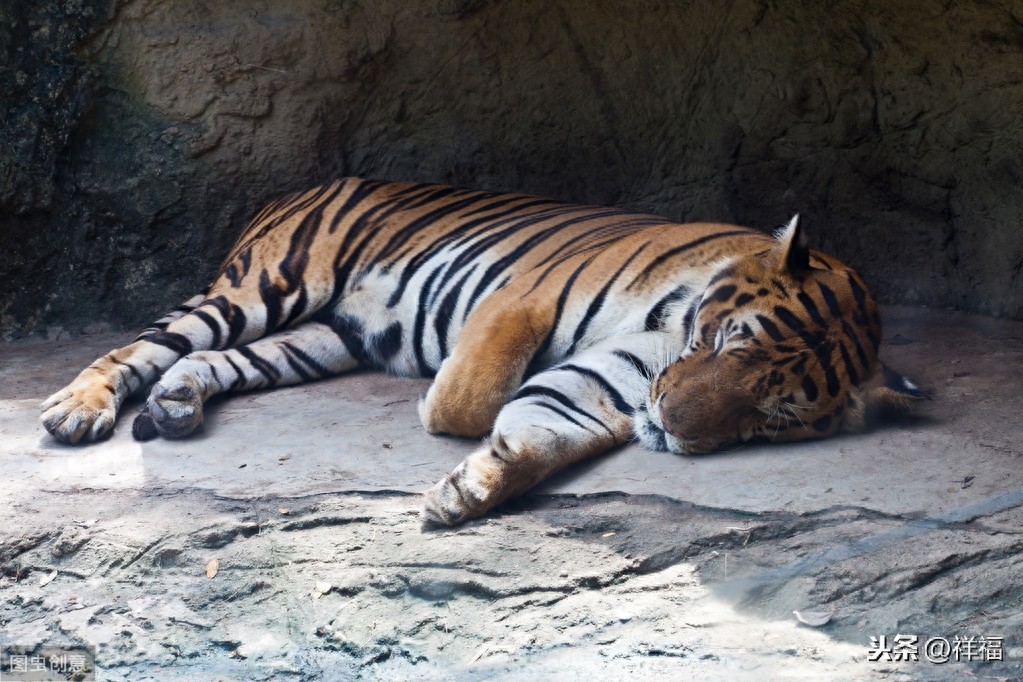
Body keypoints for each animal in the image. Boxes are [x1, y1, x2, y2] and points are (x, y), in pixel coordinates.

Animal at [40, 178, 927, 526]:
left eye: (770, 418)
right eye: (722, 341)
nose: (672, 427)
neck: (669, 330)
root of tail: (297, 187)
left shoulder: (612, 378)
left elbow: (544, 428)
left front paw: (470, 491)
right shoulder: (523, 297)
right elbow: (471, 399)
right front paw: (443, 412)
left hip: (318, 338)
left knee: (207, 362)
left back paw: (174, 408)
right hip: (264, 288)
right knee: (149, 342)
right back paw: (74, 412)